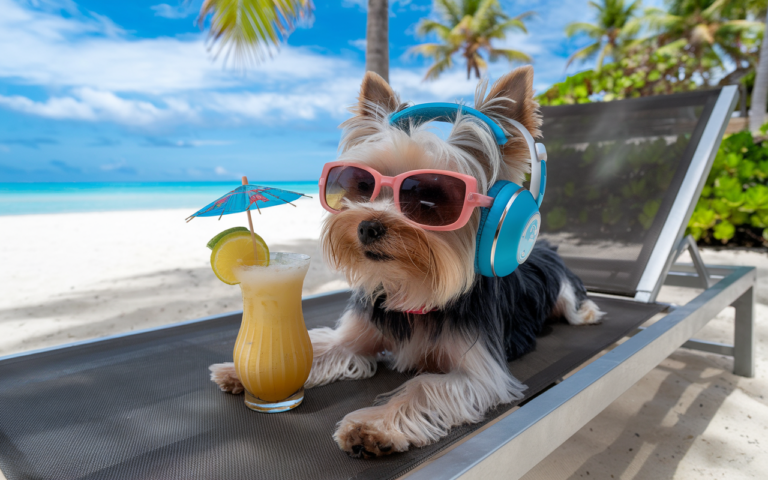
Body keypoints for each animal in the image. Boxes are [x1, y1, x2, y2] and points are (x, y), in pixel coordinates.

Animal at [208, 66, 600, 458]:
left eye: (431, 197)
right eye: (359, 184)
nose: (368, 225)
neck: (412, 286)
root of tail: (543, 246)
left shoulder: (481, 375)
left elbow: (423, 384)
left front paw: (372, 425)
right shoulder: (357, 336)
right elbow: (316, 348)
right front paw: (242, 371)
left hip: (564, 291)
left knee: (573, 306)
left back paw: (589, 312)